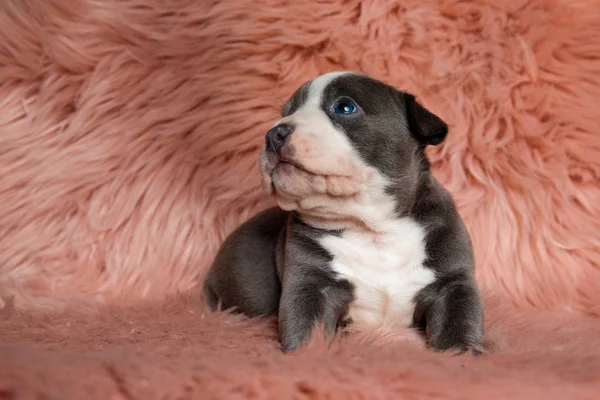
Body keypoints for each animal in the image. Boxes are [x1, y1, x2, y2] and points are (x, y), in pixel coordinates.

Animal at [204, 72, 486, 354]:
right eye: (287, 113)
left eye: (344, 107)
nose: (274, 133)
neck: (373, 229)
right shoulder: (310, 286)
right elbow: (306, 330)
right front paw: (308, 352)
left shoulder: (452, 286)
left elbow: (458, 328)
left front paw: (461, 354)